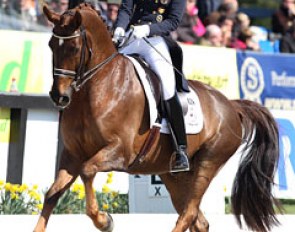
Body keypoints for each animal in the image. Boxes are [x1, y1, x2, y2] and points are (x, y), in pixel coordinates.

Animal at [34, 3, 282, 232]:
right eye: (51, 45)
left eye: (74, 47)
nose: (59, 96)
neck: (100, 86)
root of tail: (231, 104)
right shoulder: (72, 155)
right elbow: (52, 194)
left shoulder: (119, 152)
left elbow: (87, 171)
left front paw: (104, 221)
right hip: (173, 174)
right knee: (197, 220)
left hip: (208, 163)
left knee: (188, 214)